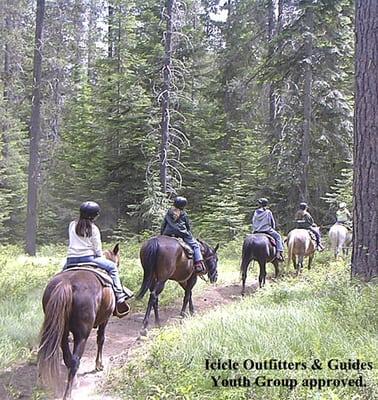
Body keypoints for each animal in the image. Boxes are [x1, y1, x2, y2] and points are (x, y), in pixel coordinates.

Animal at [37, 242, 122, 398]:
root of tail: (66, 283)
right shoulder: (105, 320)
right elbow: (101, 339)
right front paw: (99, 365)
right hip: (82, 334)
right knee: (75, 359)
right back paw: (68, 393)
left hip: (62, 332)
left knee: (68, 358)